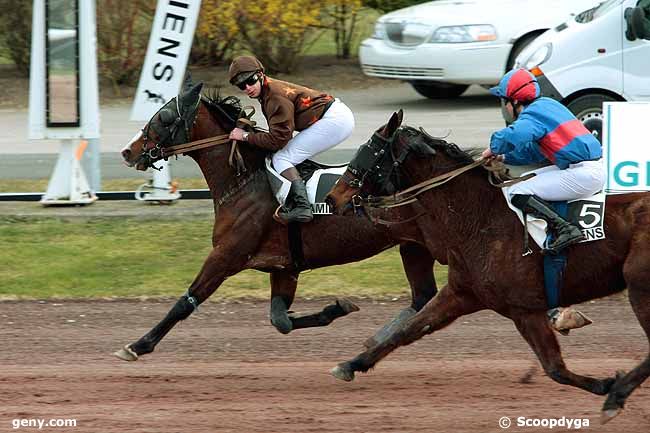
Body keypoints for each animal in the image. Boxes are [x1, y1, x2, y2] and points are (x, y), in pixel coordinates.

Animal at [115, 78, 440, 362]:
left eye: (165, 117)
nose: (127, 151)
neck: (245, 181)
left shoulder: (225, 256)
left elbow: (186, 302)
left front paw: (137, 345)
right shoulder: (284, 267)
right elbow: (280, 320)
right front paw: (338, 308)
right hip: (414, 246)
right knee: (424, 297)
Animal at [324, 110, 648, 422]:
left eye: (370, 151)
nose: (332, 197)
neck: (480, 218)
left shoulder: (525, 309)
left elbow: (554, 368)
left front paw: (607, 385)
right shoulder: (461, 292)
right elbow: (409, 329)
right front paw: (351, 364)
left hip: (639, 287)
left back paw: (617, 394)